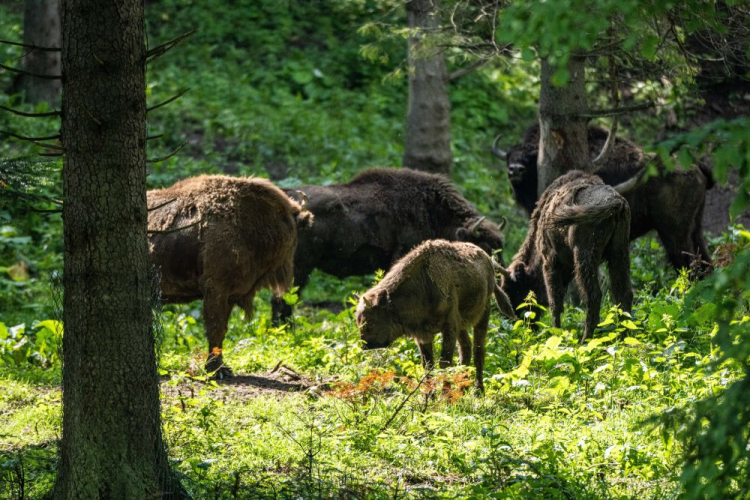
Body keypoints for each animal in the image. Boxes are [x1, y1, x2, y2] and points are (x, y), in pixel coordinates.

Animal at [148, 174, 312, 376]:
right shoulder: (215, 288)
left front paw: (222, 367)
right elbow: (215, 328)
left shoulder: (231, 295)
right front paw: (216, 369)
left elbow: (223, 330)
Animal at [356, 238, 516, 390]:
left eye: (371, 320)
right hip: (462, 326)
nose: (365, 344)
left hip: (483, 314)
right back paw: (463, 388)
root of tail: (488, 260)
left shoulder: (449, 326)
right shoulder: (424, 335)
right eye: (358, 321)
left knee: (478, 351)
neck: (424, 283)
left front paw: (446, 395)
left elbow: (444, 363)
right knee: (466, 350)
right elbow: (428, 366)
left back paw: (478, 391)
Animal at [496, 123, 712, 276]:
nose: (515, 169)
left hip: (674, 233)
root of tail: (695, 167)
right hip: (695, 228)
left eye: (531, 156)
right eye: (509, 155)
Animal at [500, 170, 636, 342]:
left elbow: (555, 301)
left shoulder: (550, 260)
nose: (526, 324)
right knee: (624, 294)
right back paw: (623, 338)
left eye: (515, 289)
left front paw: (555, 334)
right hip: (619, 253)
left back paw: (585, 340)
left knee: (593, 296)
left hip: (584, 257)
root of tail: (617, 203)